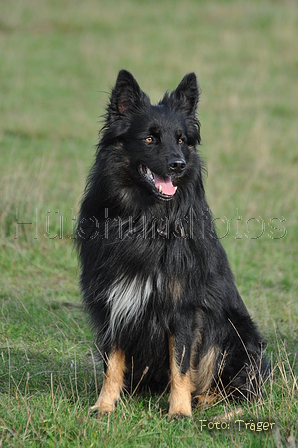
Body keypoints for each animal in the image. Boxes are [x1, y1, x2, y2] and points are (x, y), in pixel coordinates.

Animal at [76, 69, 268, 416]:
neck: (145, 219)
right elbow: (113, 363)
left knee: (236, 387)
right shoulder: (116, 299)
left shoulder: (184, 308)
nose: (178, 164)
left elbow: (180, 363)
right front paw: (104, 406)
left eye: (180, 139)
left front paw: (179, 411)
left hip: (236, 334)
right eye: (149, 138)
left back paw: (202, 399)